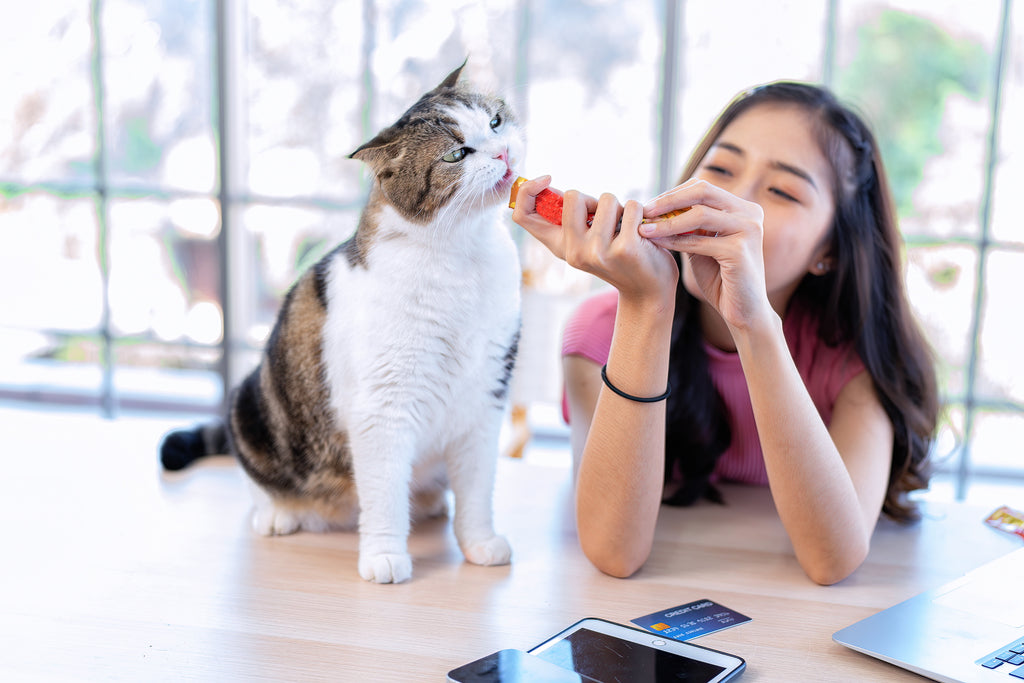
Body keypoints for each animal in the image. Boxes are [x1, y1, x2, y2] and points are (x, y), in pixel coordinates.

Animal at [164, 63, 528, 585]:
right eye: (457, 154)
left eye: (495, 122)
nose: (502, 152)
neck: (465, 257)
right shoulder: (383, 408)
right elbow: (384, 497)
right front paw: (385, 556)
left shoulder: (485, 398)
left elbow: (477, 491)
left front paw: (479, 544)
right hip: (249, 402)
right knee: (258, 480)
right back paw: (279, 513)